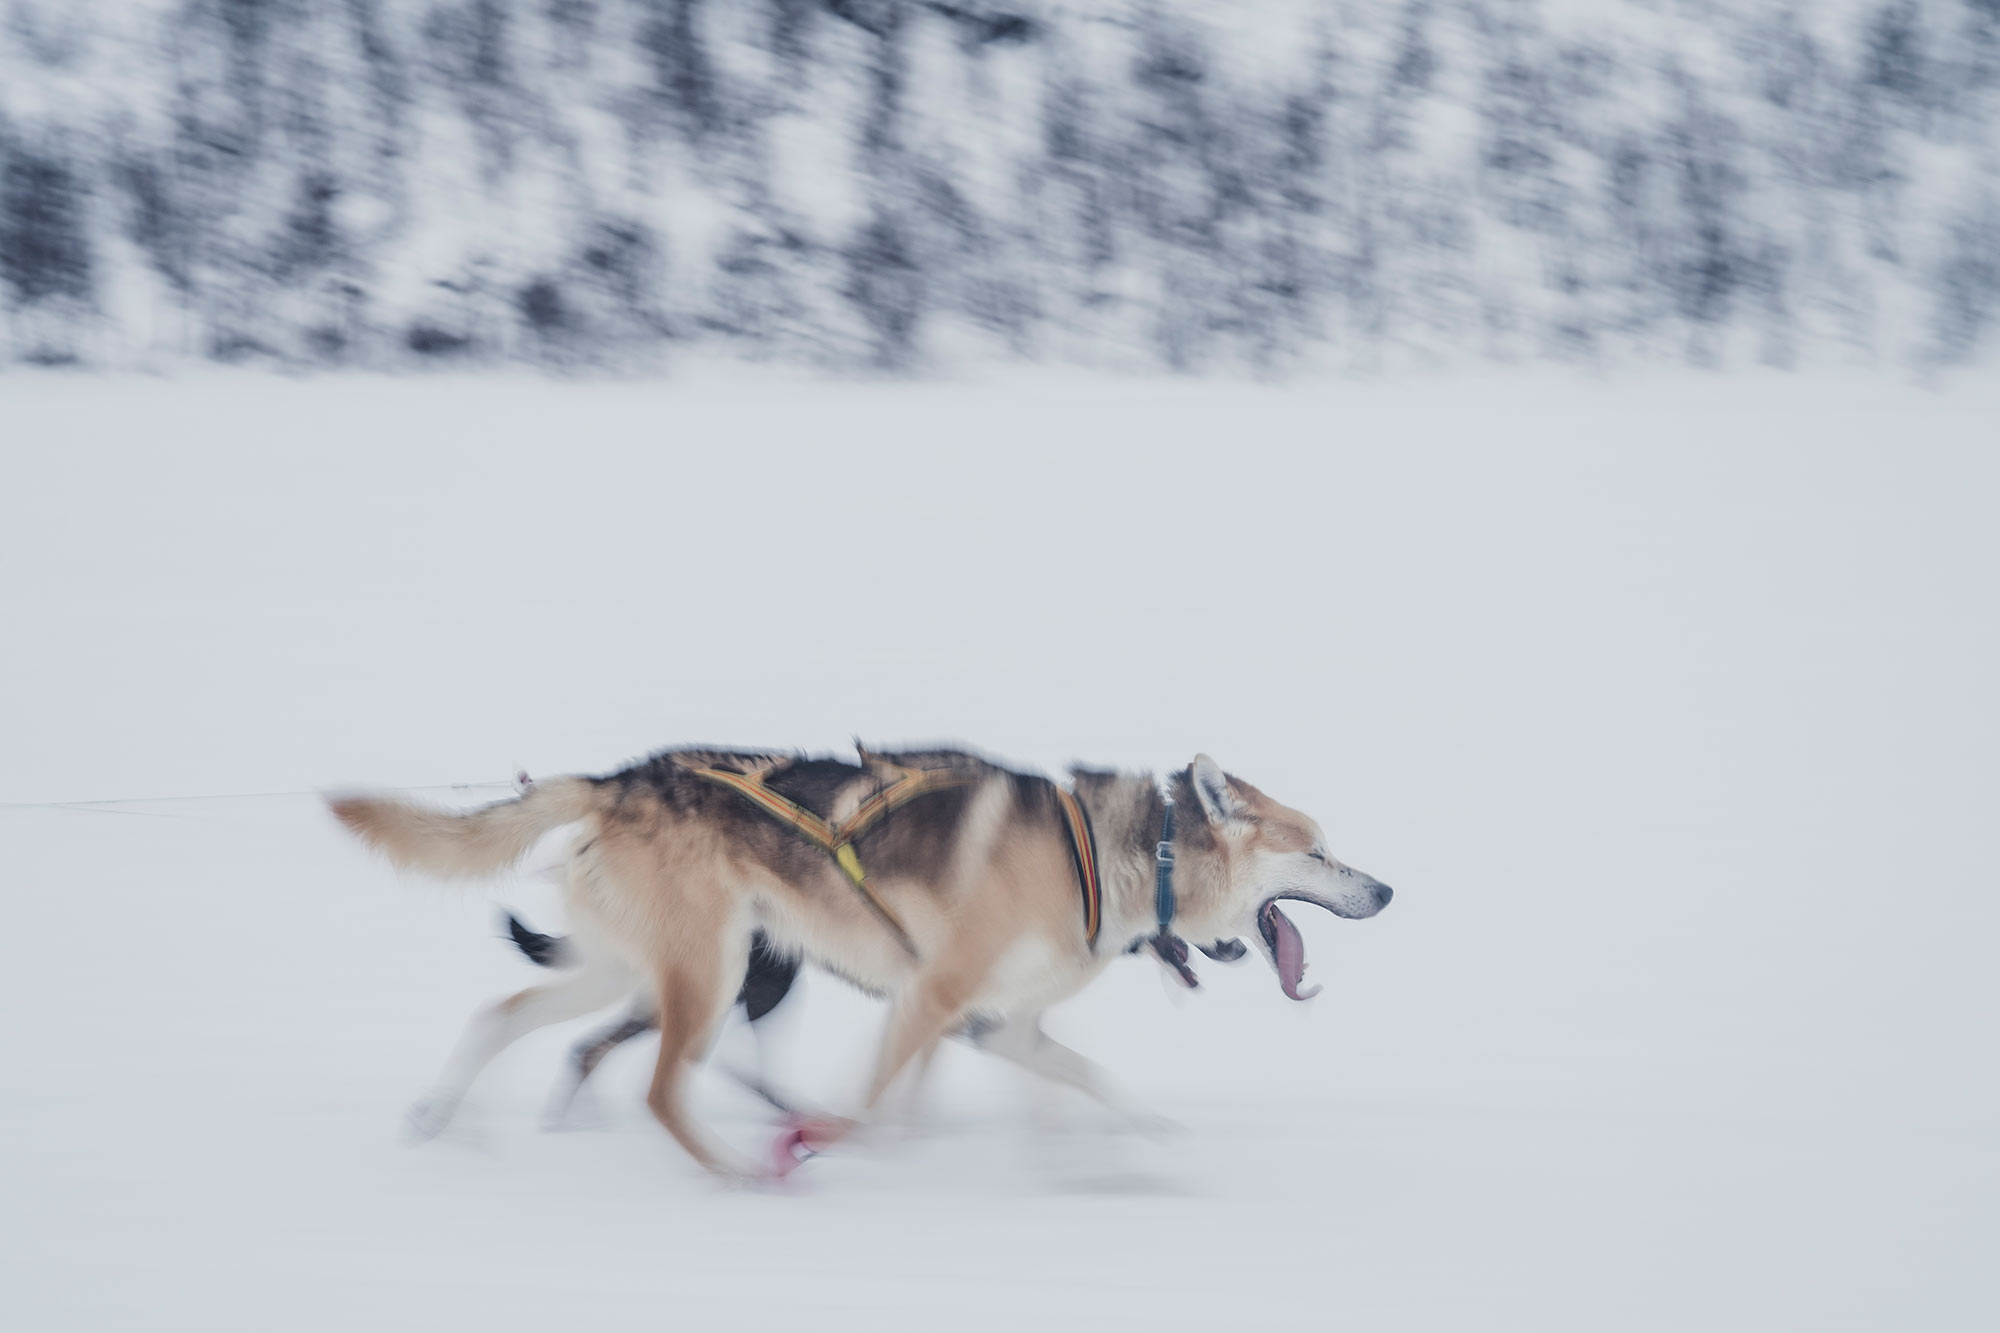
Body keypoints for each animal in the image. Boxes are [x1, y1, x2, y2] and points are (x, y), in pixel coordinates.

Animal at [328, 748, 1392, 1176]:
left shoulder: (996, 1023)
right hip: (708, 976)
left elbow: (1088, 1084)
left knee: (502, 1013)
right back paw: (738, 1172)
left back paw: (437, 1117)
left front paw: (1135, 1144)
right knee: (664, 1089)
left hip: (631, 970)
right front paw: (844, 1144)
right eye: (1319, 848)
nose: (1385, 890)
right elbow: (873, 1100)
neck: (1120, 854)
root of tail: (615, 779)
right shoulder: (934, 997)